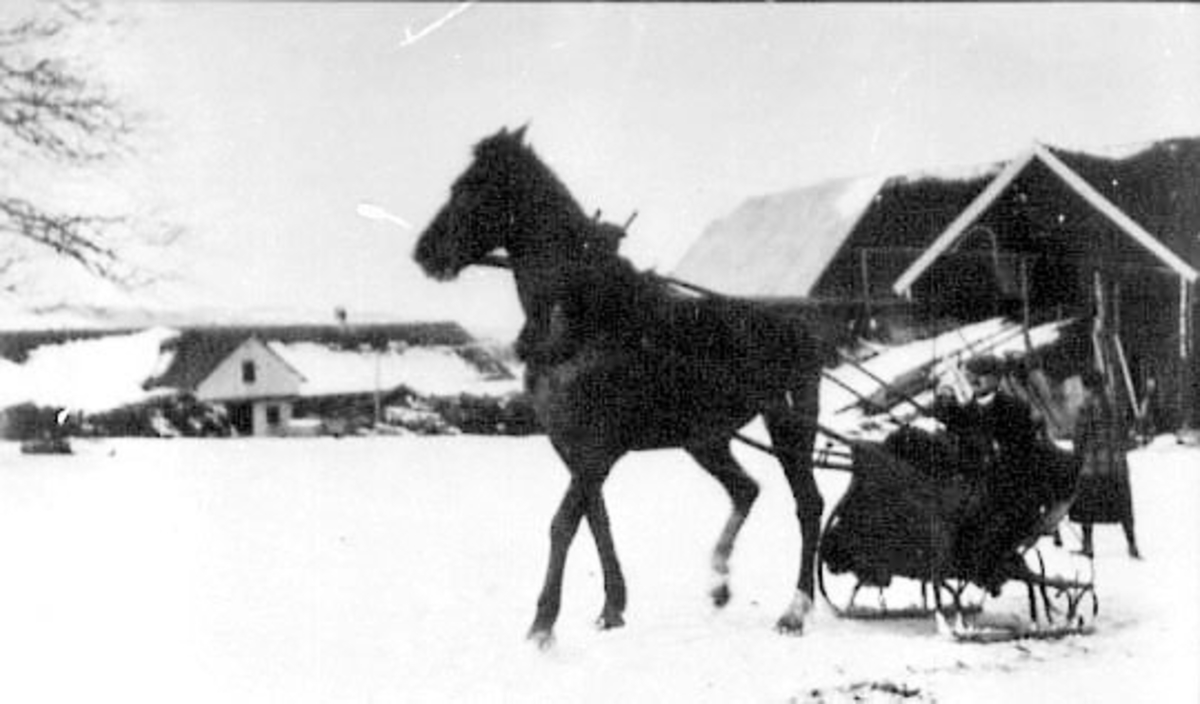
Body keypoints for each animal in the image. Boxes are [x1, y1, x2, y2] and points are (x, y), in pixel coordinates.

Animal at [412, 128, 825, 652]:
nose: (425, 253)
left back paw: (795, 611)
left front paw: (543, 625)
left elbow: (563, 524)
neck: (579, 315)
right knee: (746, 489)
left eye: (472, 187)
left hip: (788, 425)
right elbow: (596, 518)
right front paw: (612, 608)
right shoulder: (572, 446)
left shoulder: (597, 447)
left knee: (808, 504)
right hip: (705, 438)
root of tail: (799, 327)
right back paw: (718, 583)